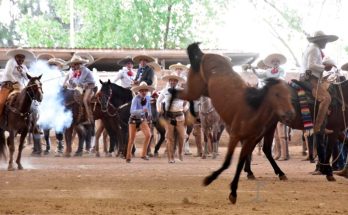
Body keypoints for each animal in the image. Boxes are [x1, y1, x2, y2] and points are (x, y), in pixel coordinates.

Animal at [169, 42, 294, 204]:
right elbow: (228, 162)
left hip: (202, 91)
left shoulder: (249, 140)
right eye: (277, 94)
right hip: (194, 89)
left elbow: (240, 163)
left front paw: (233, 191)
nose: (290, 113)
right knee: (174, 92)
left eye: (290, 95)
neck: (252, 110)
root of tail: (204, 55)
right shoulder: (234, 136)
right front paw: (209, 179)